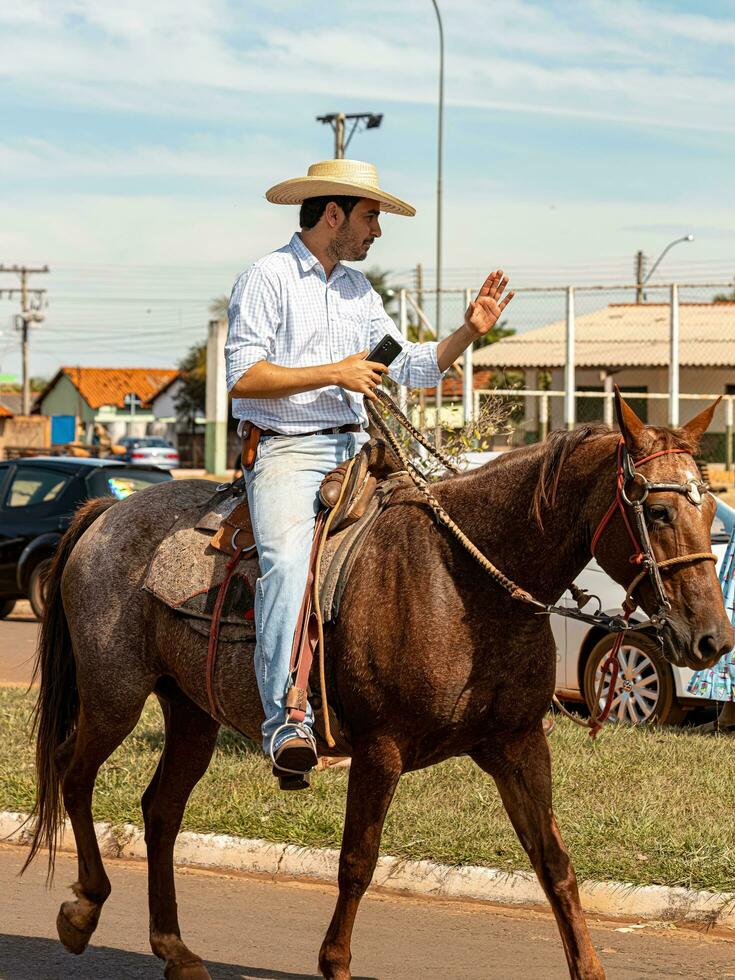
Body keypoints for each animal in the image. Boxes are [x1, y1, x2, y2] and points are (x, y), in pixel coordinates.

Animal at [24, 396, 735, 980]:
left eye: (708, 507)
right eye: (658, 510)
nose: (712, 639)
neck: (461, 581)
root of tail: (106, 514)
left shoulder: (518, 745)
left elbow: (555, 864)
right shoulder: (379, 750)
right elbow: (357, 863)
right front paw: (334, 962)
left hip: (192, 713)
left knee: (161, 811)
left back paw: (174, 948)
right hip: (114, 697)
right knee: (72, 773)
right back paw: (83, 909)